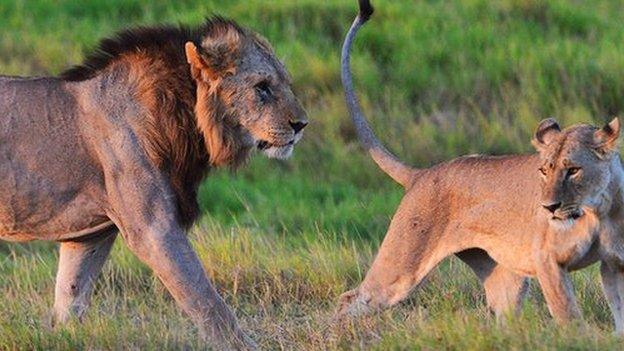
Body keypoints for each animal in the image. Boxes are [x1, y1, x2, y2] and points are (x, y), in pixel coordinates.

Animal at [0, 15, 308, 350]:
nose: (301, 124)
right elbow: (206, 300)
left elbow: (70, 299)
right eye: (262, 87)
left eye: (286, 83)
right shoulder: (153, 229)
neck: (183, 118)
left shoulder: (88, 237)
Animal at [338, 0, 624, 332]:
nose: (549, 208)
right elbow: (568, 316)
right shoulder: (547, 260)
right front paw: (576, 338)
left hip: (505, 278)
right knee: (350, 299)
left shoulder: (615, 263)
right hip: (400, 268)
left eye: (573, 170)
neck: (598, 210)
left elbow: (619, 313)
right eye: (544, 170)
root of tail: (421, 174)